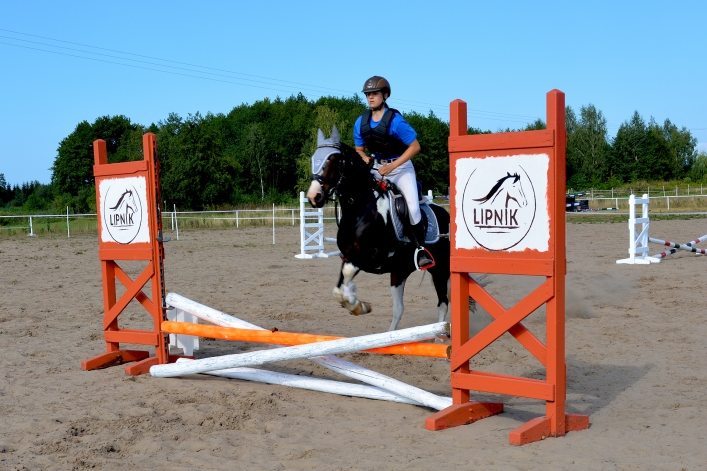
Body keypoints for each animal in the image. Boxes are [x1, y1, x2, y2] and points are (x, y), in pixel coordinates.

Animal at [306, 127, 451, 331]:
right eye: (314, 158)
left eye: (333, 160)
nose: (314, 197)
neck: (360, 210)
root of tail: (445, 213)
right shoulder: (348, 256)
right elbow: (338, 288)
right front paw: (358, 305)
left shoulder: (375, 258)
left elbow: (348, 272)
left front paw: (355, 303)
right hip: (400, 270)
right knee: (399, 308)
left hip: (439, 269)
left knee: (443, 303)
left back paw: (440, 335)